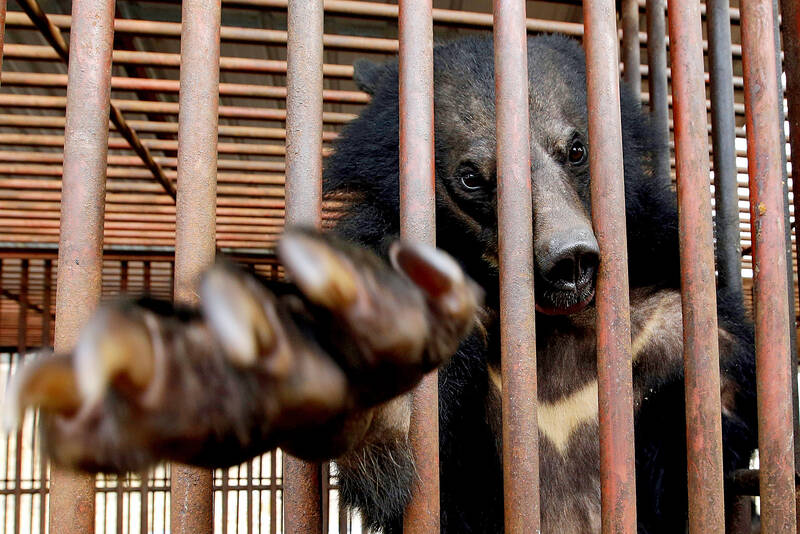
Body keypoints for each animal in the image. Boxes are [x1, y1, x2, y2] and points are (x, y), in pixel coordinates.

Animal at [3, 35, 757, 534]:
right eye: (471, 177)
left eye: (576, 149)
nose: (569, 260)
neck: (540, 323)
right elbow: (393, 452)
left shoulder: (664, 295)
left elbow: (717, 417)